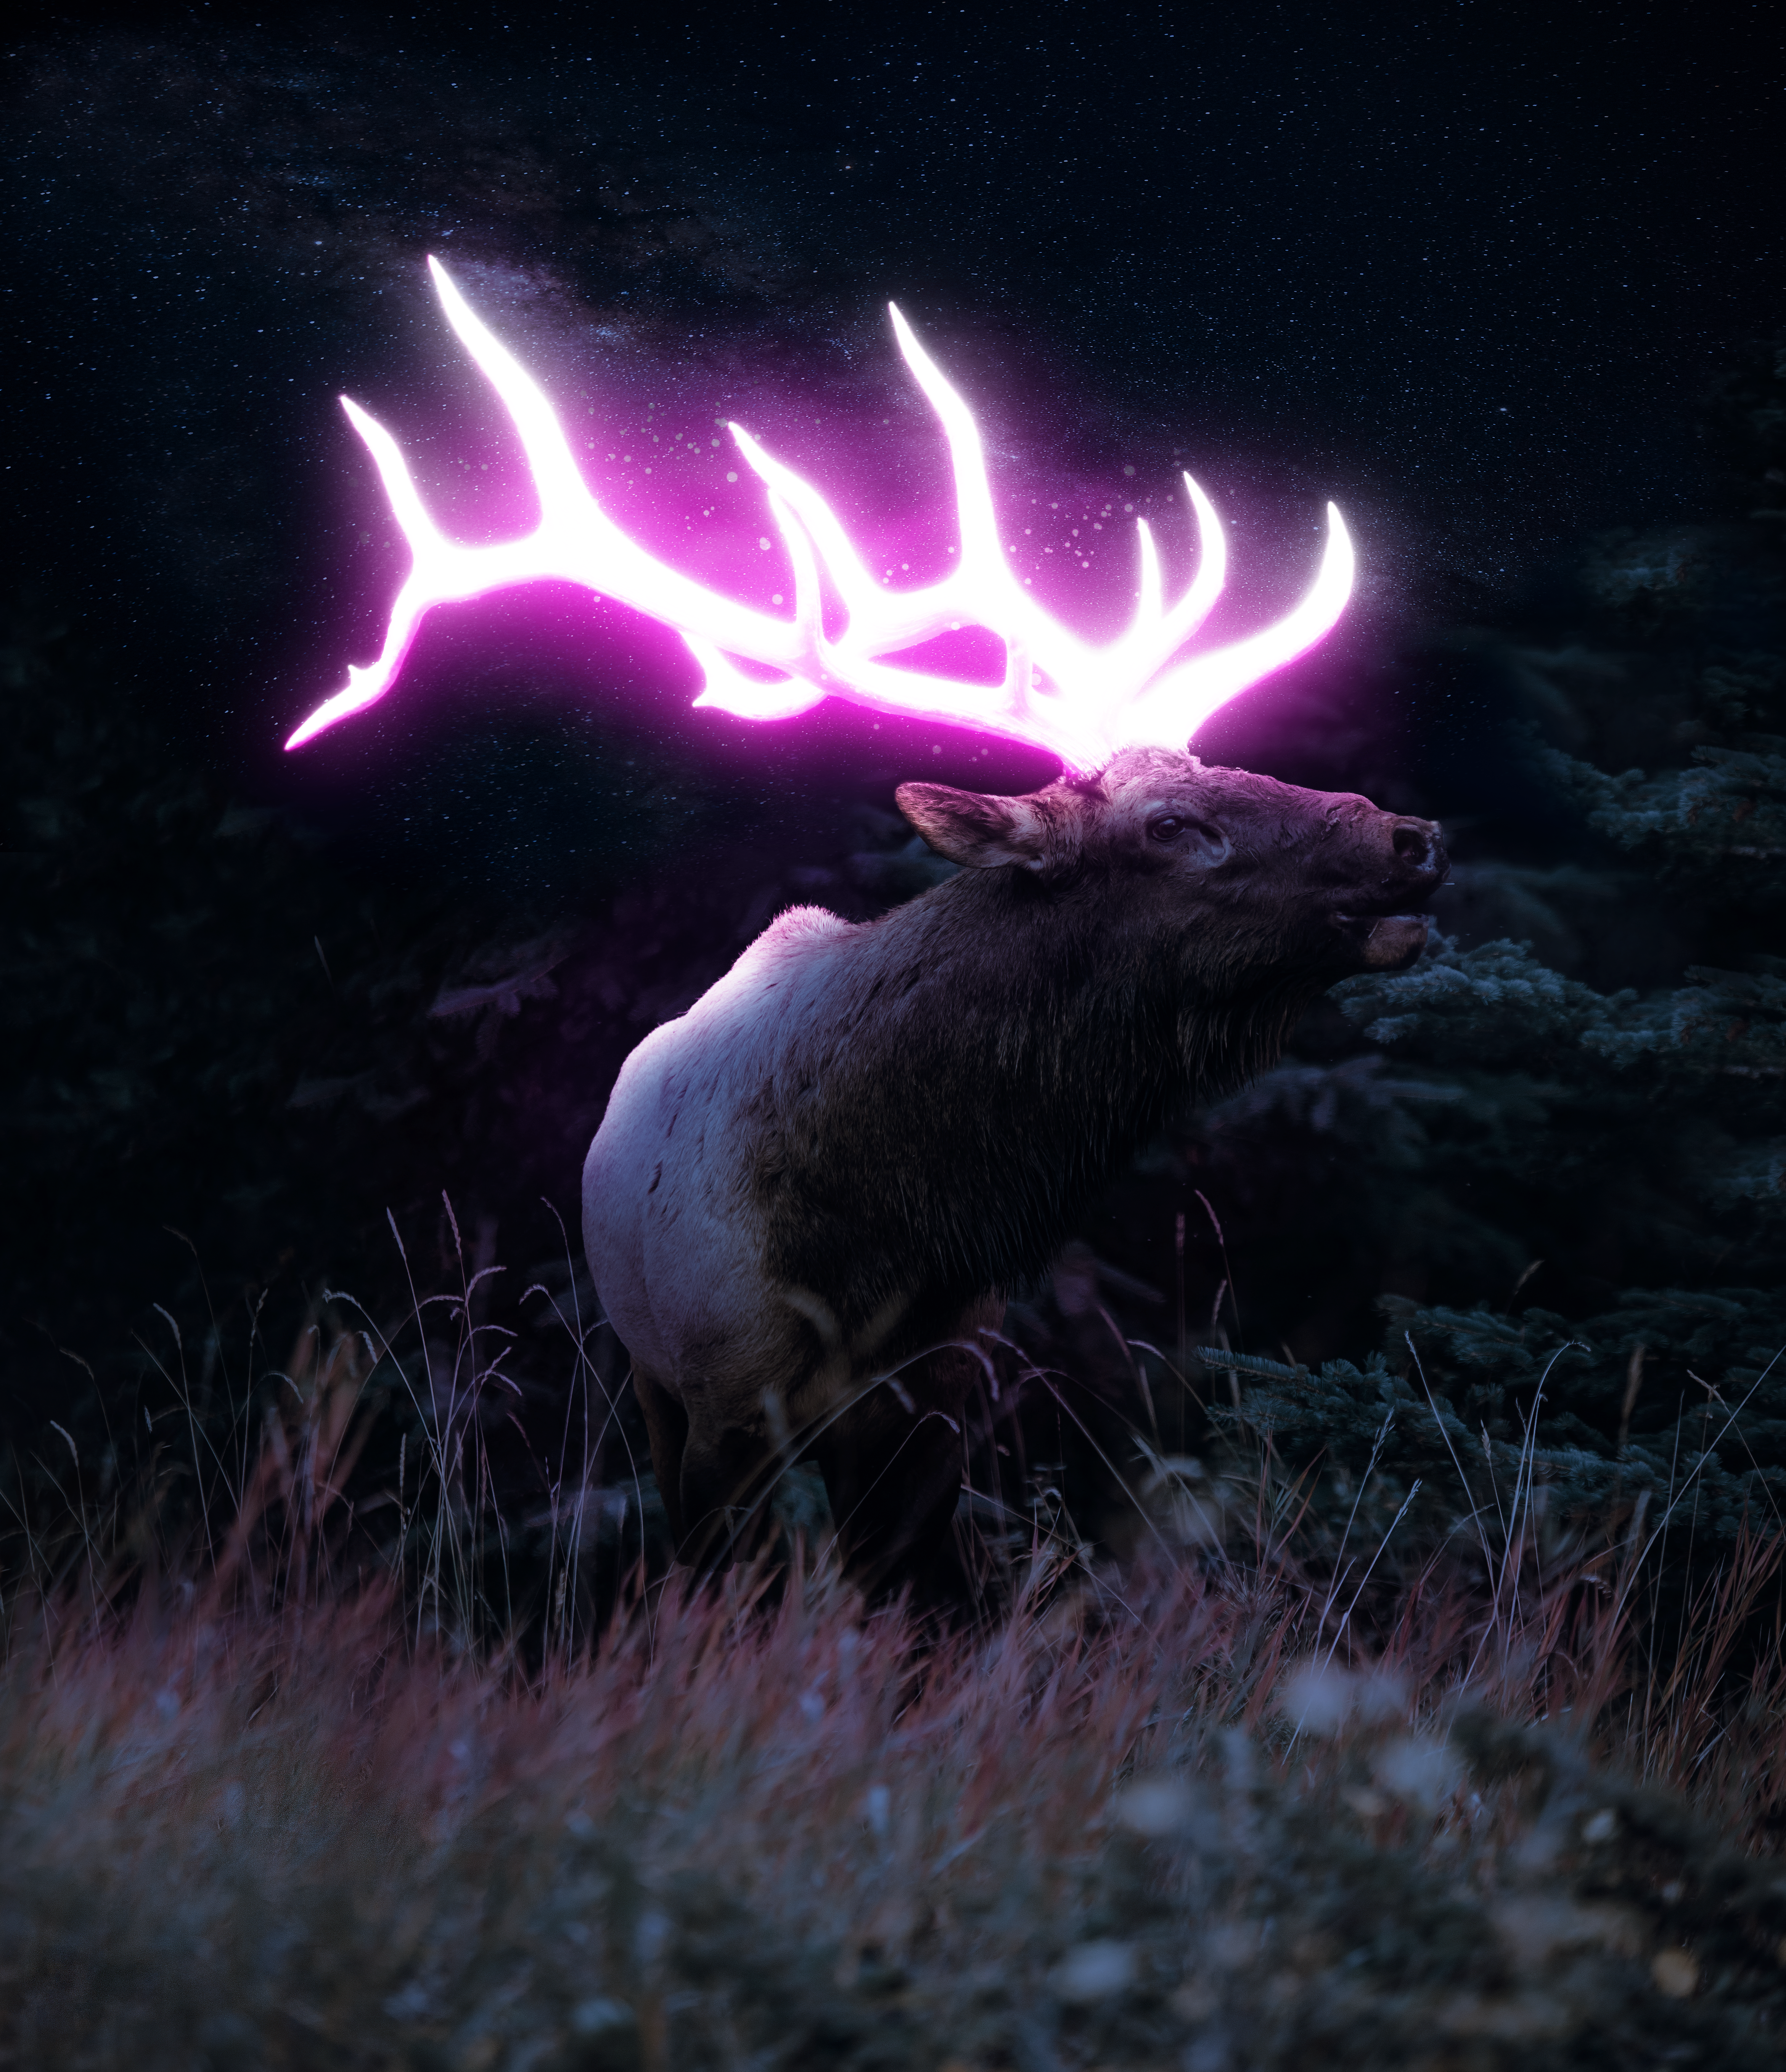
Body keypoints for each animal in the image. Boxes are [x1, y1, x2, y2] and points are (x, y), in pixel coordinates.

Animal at [286, 260, 1447, 1593]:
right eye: (1171, 823)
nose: (1413, 836)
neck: (886, 1234)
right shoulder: (720, 1390)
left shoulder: (941, 1396)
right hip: (645, 1375)